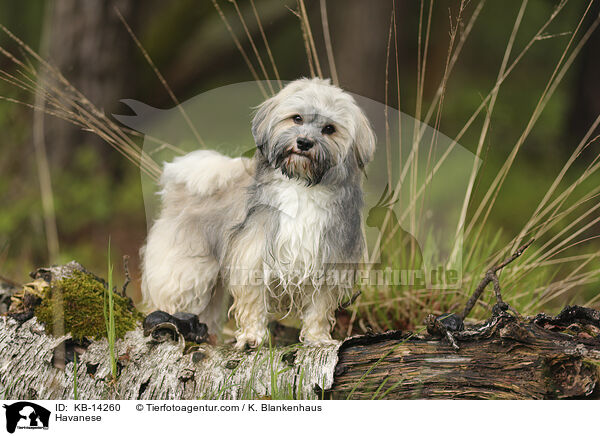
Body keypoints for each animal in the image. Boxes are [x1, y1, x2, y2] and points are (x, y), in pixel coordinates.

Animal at [141, 77, 376, 348]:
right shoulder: (252, 256)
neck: (301, 186)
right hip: (185, 272)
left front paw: (317, 339)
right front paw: (253, 336)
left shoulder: (328, 262)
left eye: (329, 129)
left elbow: (319, 308)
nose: (304, 142)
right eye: (297, 118)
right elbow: (253, 302)